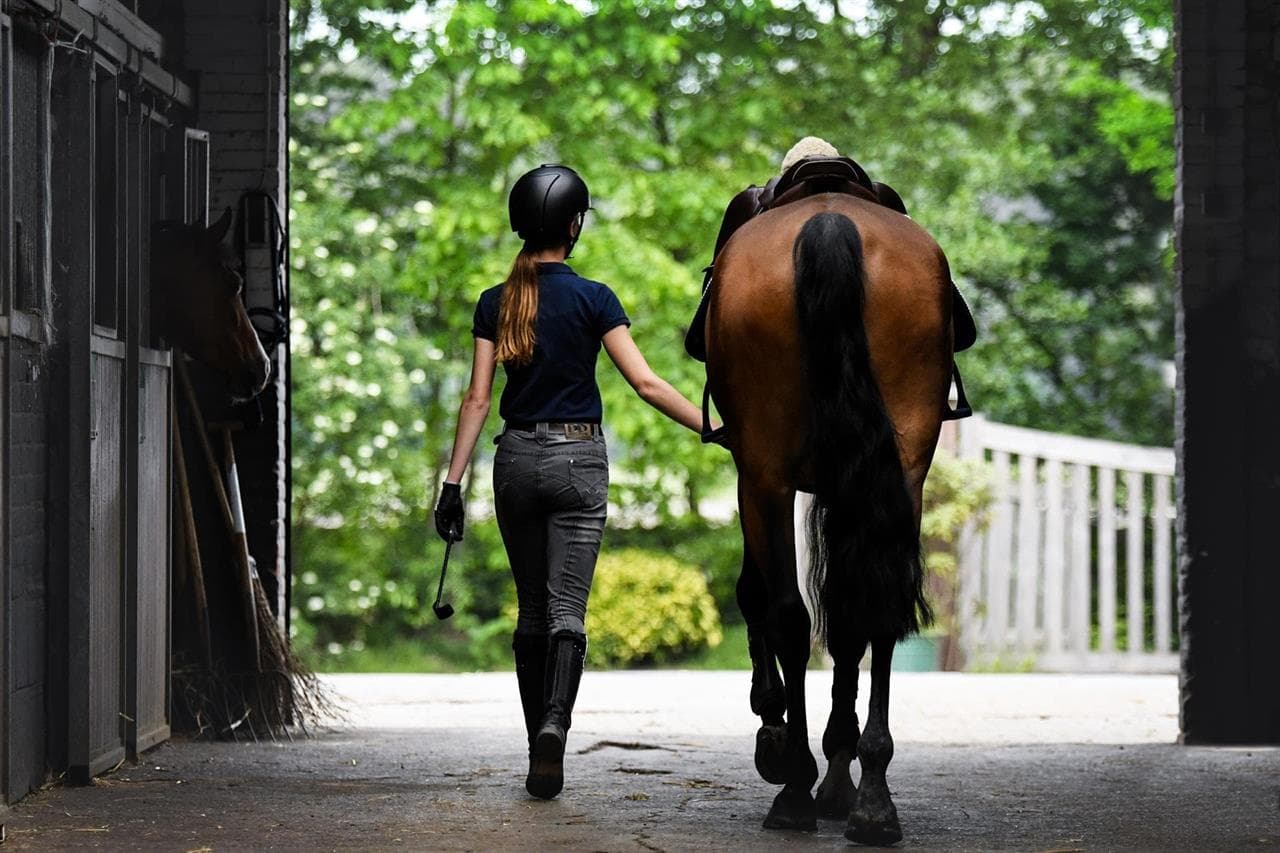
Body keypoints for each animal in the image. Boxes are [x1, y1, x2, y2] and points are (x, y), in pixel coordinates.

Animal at [711, 190, 952, 835]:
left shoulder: (754, 478)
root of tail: (827, 221)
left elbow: (758, 596)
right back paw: (873, 798)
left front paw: (775, 731)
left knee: (790, 616)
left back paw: (795, 785)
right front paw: (842, 766)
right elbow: (847, 622)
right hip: (903, 470)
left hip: (766, 476)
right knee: (879, 607)